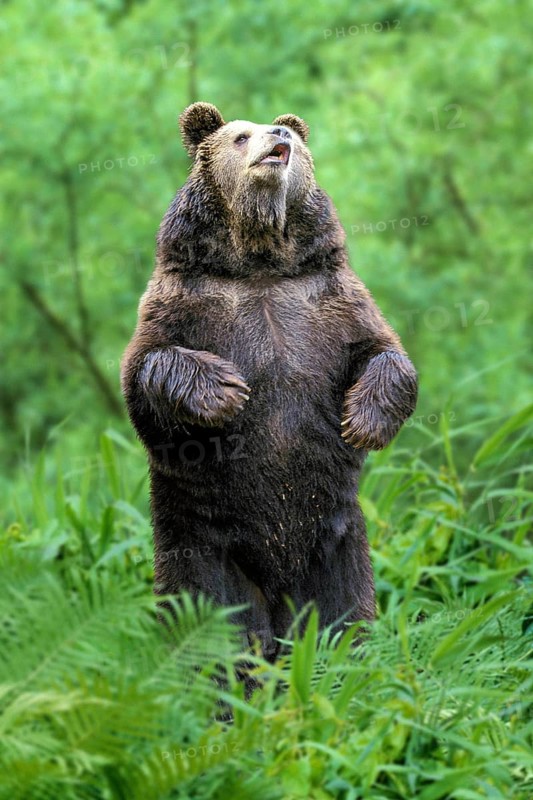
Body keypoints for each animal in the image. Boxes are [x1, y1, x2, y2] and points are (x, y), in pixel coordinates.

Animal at [121, 102, 418, 660]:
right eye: (240, 135)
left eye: (292, 139)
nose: (280, 134)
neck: (259, 260)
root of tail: (279, 590)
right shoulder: (185, 301)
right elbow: (147, 370)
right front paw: (226, 391)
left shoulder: (330, 299)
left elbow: (384, 353)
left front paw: (363, 420)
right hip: (203, 543)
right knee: (213, 627)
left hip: (337, 539)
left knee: (343, 612)